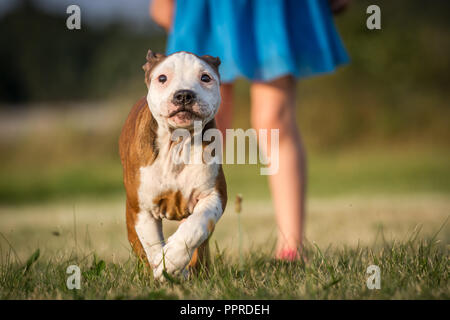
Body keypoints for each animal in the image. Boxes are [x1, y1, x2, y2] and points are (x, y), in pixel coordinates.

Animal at [118, 50, 227, 280]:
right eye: (162, 78)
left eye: (205, 77)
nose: (184, 95)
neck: (178, 142)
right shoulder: (143, 210)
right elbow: (152, 245)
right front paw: (164, 269)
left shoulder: (214, 195)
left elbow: (195, 227)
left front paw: (173, 261)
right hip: (131, 214)